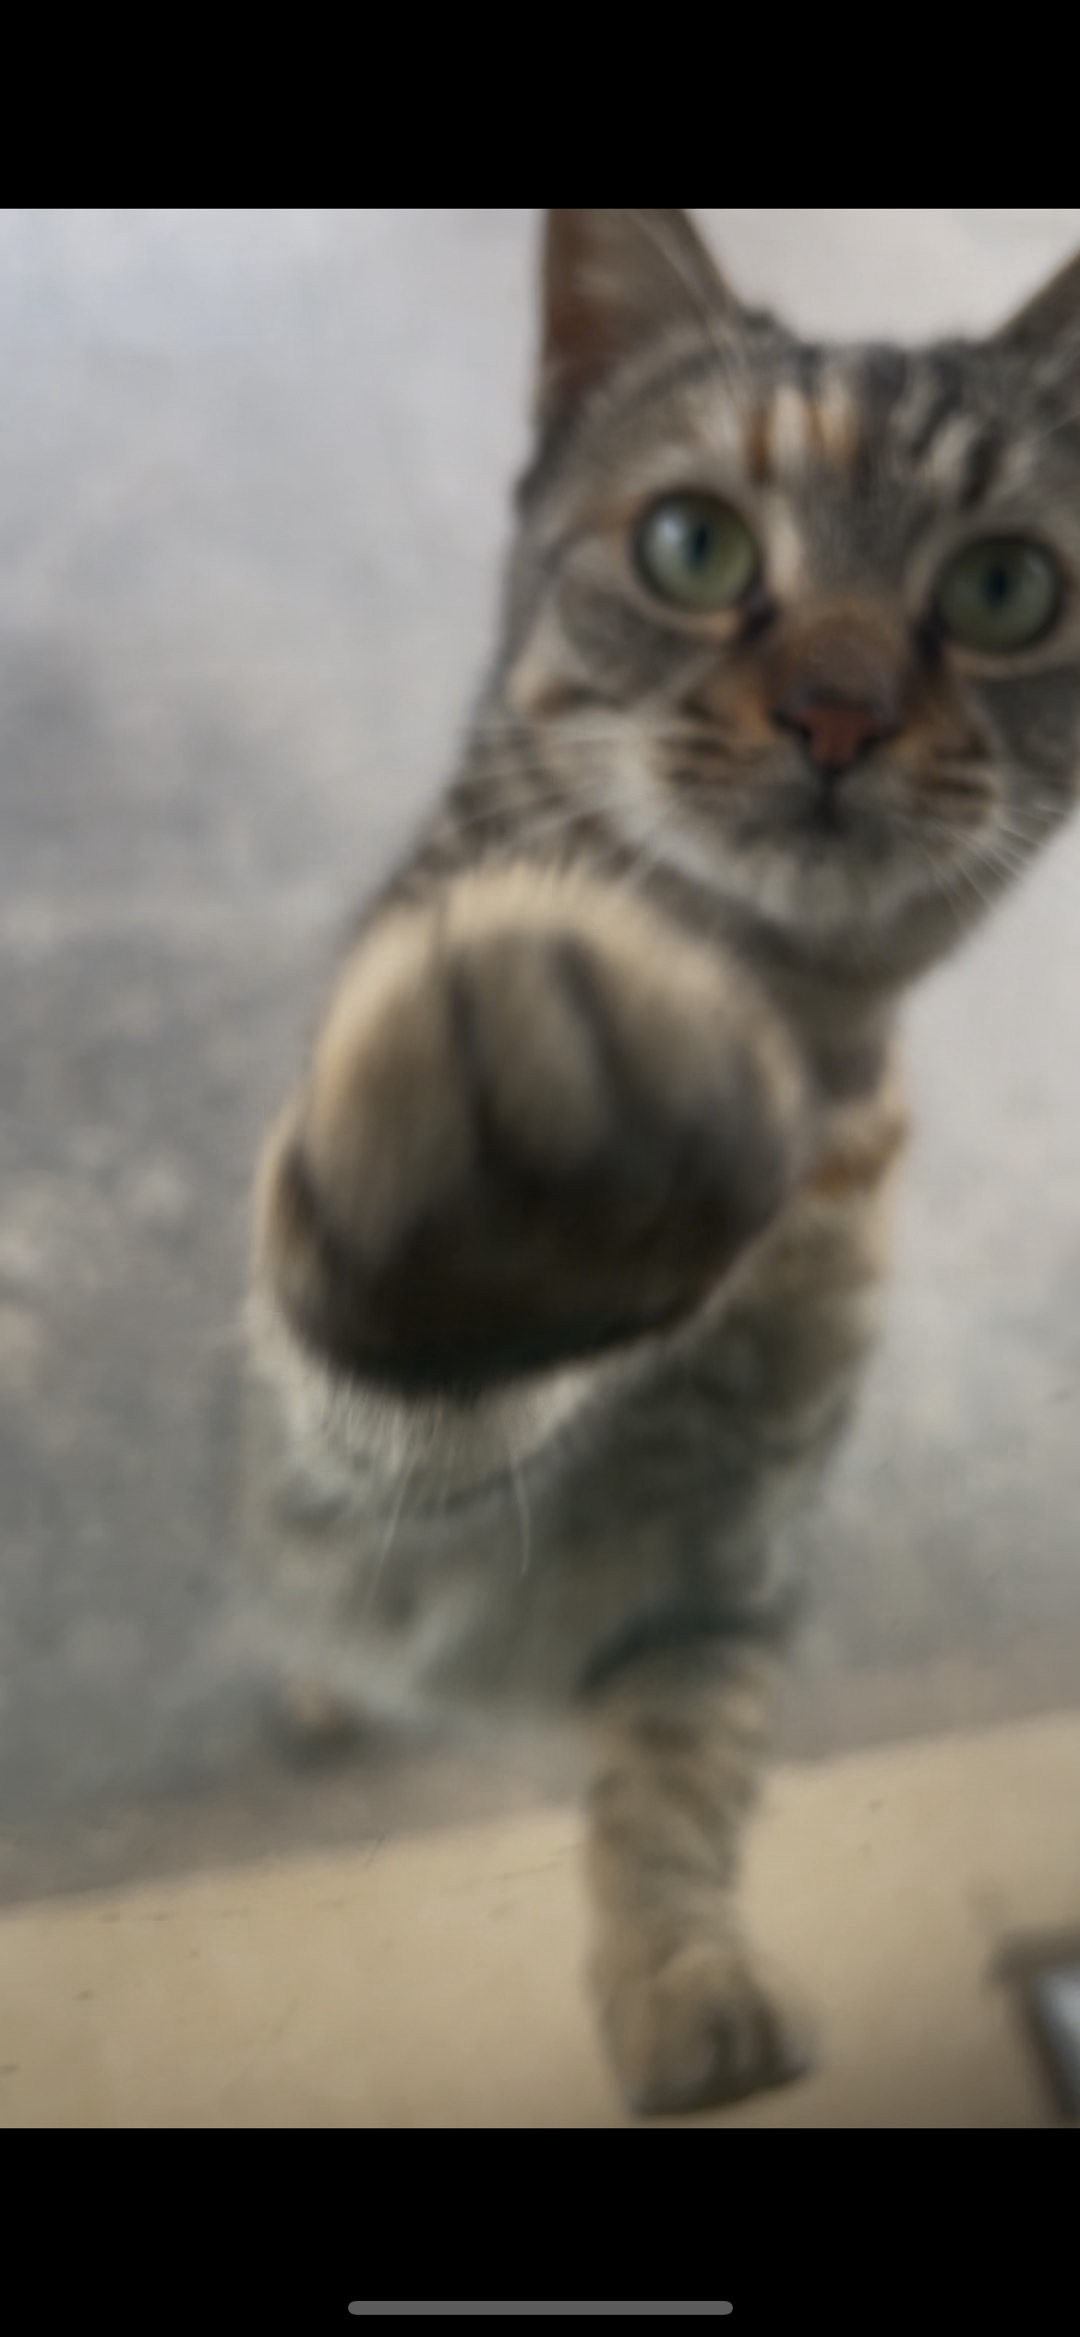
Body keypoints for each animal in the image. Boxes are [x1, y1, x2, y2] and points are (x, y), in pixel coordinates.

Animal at [240, 209, 1080, 2117]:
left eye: (1006, 587)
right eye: (696, 544)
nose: (840, 713)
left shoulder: (731, 1565)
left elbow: (676, 1790)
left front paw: (686, 1968)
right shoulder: (378, 1473)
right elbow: (410, 1391)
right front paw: (522, 1185)